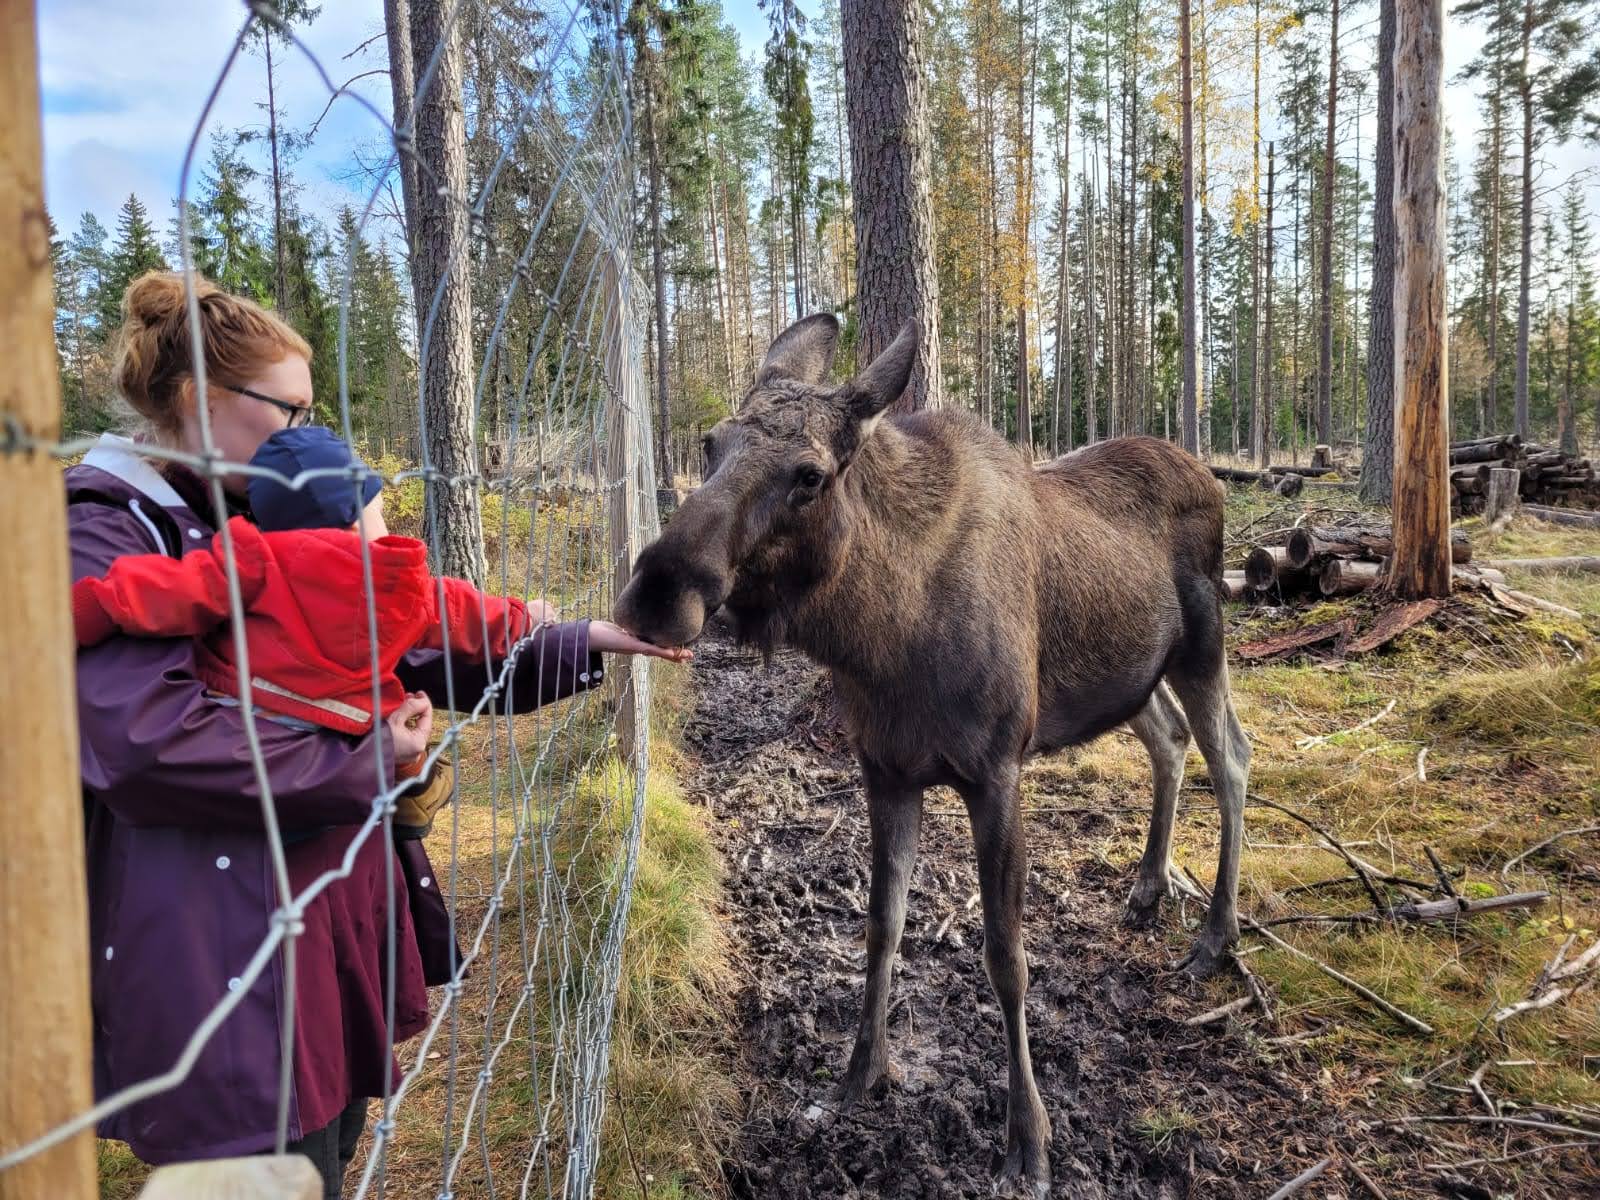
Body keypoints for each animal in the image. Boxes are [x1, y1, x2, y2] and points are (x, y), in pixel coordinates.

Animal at [611, 315, 1248, 1196]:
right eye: (711, 444)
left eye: (809, 475)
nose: (656, 591)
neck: (879, 633)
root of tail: (1212, 478)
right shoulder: (884, 770)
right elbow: (881, 926)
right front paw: (857, 1075)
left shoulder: (997, 771)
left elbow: (1006, 957)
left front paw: (1028, 1138)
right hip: (1128, 676)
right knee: (1171, 740)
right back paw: (1149, 886)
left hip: (1202, 643)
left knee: (1233, 759)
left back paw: (1215, 937)